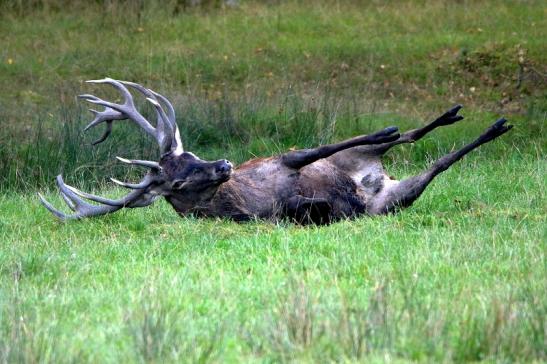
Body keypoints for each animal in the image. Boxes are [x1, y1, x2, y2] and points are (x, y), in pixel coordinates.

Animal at [39, 78, 512, 223]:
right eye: (180, 181)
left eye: (191, 157)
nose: (224, 164)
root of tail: (379, 176)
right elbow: (310, 206)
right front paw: (319, 204)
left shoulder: (284, 157)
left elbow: (319, 146)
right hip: (396, 198)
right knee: (437, 162)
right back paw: (494, 126)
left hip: (365, 162)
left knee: (402, 137)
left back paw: (448, 116)